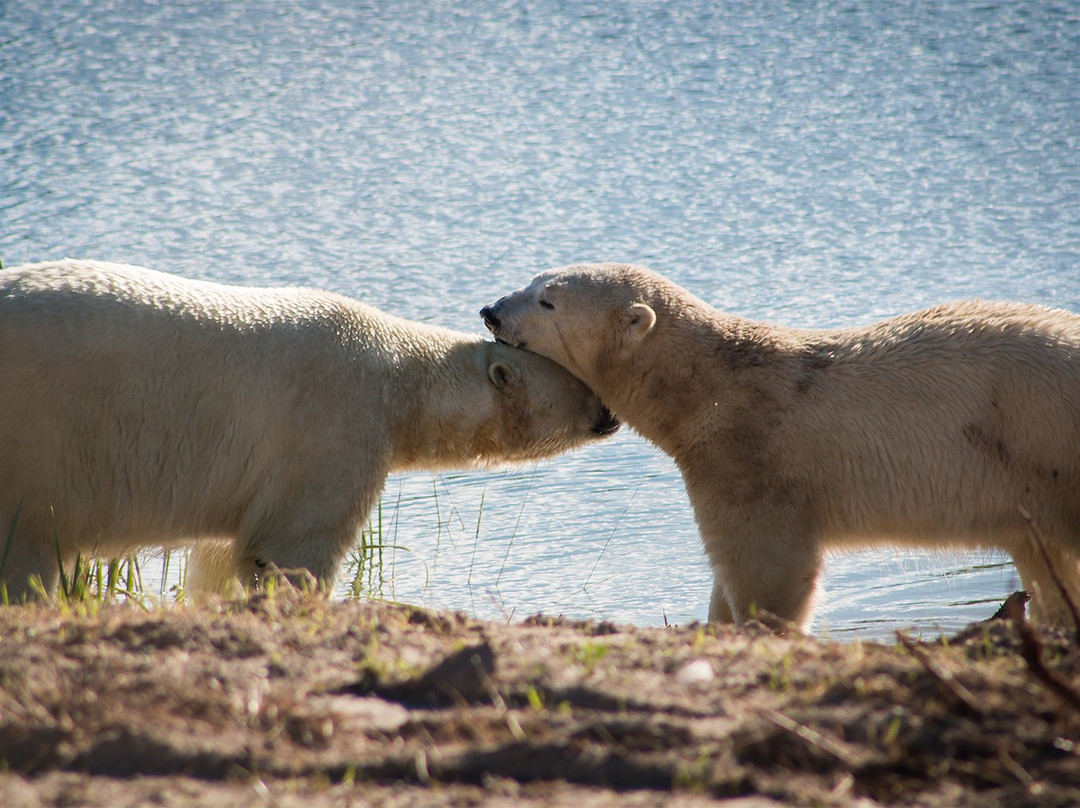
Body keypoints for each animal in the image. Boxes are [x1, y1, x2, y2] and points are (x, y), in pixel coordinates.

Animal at [0, 259, 619, 601]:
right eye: (581, 382)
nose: (610, 415)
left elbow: (217, 559)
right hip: (35, 445)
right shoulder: (330, 427)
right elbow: (290, 550)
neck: (397, 374)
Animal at [481, 262, 1080, 632]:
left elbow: (766, 568)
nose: (491, 310)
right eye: (534, 279)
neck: (711, 389)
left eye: (547, 300)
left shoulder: (752, 457)